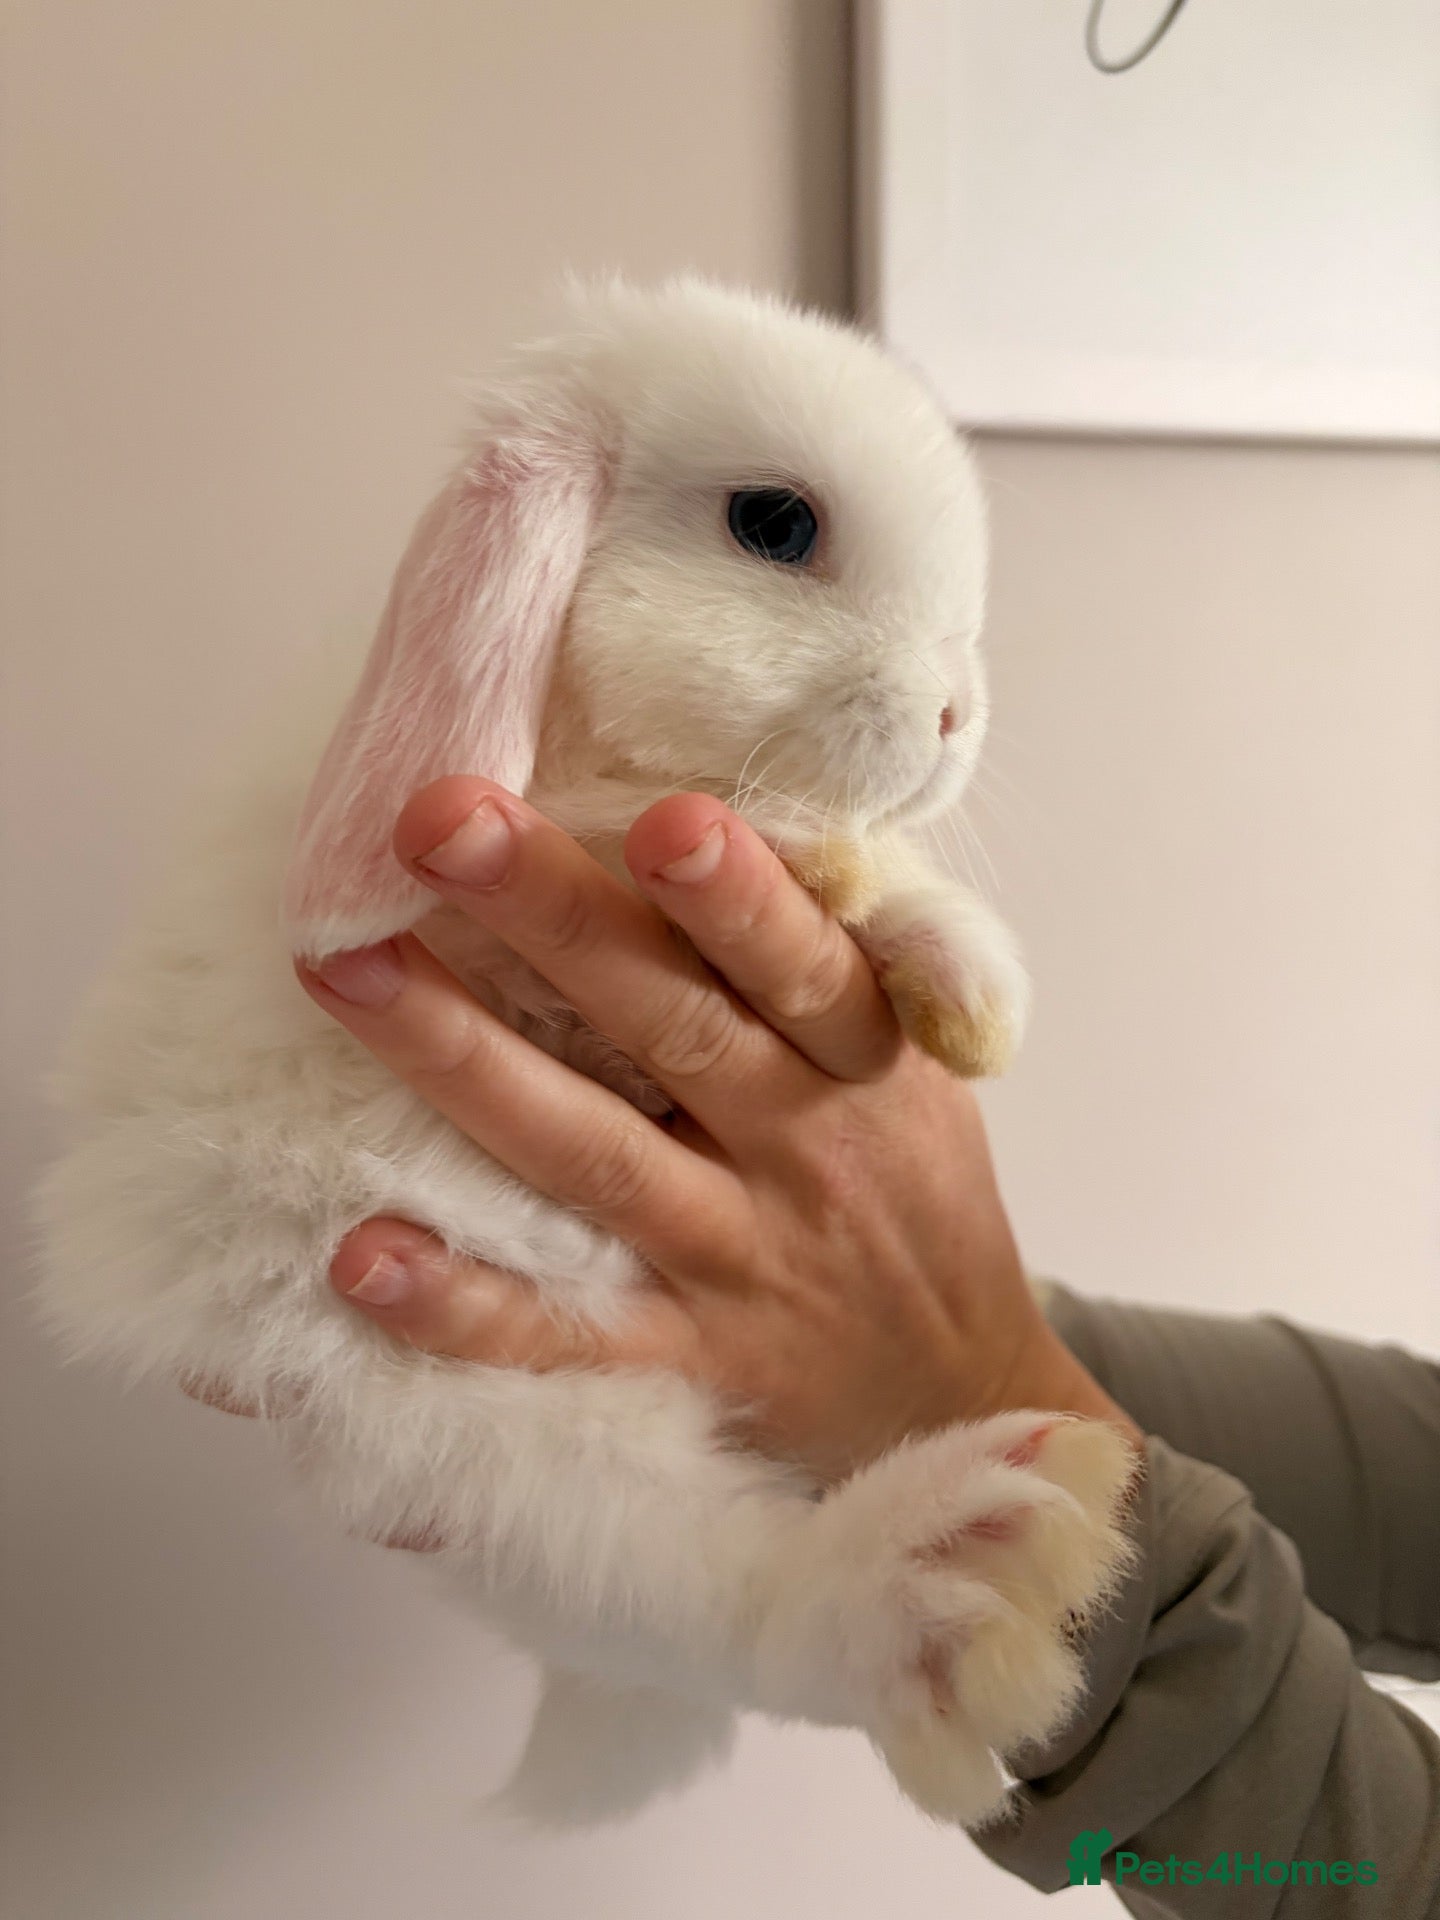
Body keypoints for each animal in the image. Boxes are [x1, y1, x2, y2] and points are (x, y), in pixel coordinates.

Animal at [32, 277, 1135, 1830]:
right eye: (774, 523)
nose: (949, 719)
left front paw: (974, 996)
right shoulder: (479, 870)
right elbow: (611, 821)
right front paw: (812, 859)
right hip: (468, 1423)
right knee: (729, 1609)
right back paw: (960, 1568)